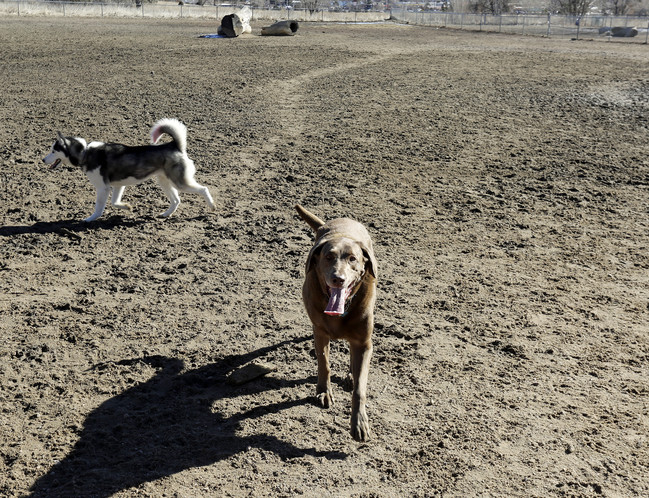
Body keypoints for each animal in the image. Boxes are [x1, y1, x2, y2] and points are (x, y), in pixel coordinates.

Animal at [43, 118, 215, 222]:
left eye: (53, 151)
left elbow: (99, 207)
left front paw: (91, 218)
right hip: (164, 181)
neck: (85, 152)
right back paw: (166, 214)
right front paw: (127, 207)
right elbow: (114, 202)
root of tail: (174, 145)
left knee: (203, 189)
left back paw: (212, 206)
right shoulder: (118, 185)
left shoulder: (103, 188)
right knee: (176, 200)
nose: (43, 160)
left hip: (179, 182)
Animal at [294, 204, 378, 442]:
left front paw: (359, 422)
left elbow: (360, 388)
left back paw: (350, 375)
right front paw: (323, 391)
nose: (338, 279)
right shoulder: (319, 332)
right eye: (329, 257)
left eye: (352, 259)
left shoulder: (364, 343)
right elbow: (324, 364)